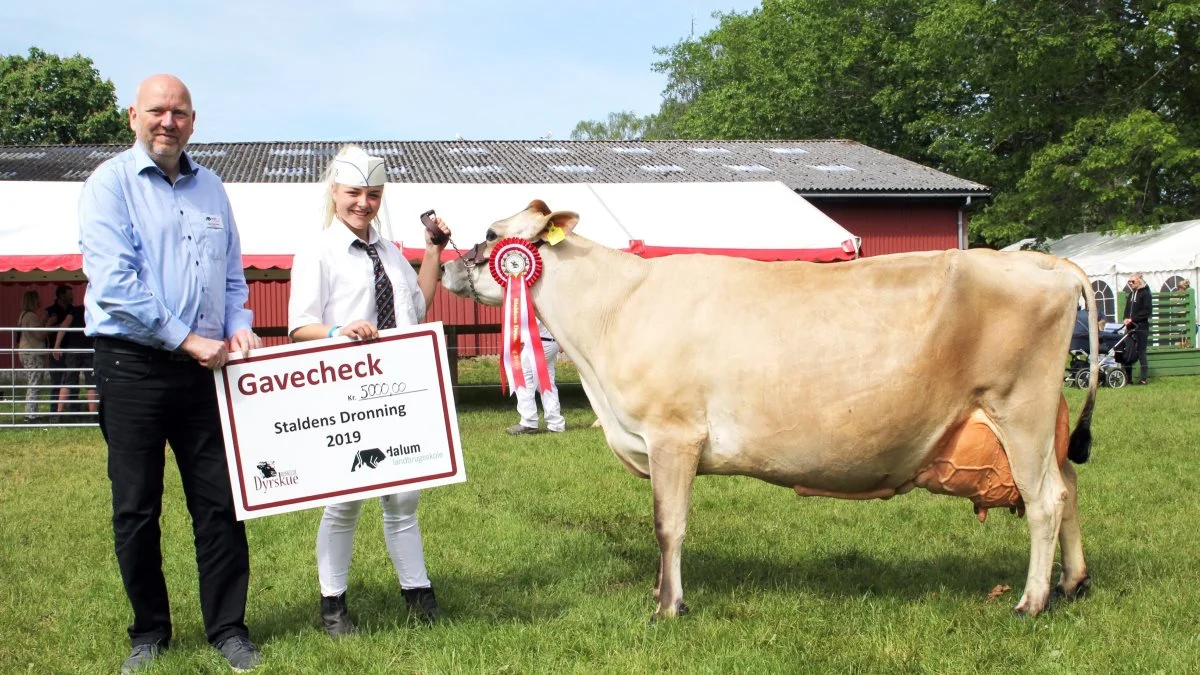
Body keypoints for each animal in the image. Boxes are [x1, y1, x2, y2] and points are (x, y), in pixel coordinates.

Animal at [439, 199, 1099, 619]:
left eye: (494, 237)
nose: (444, 264)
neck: (615, 311)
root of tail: (1048, 263)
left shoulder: (672, 435)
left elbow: (668, 525)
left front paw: (669, 607)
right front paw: (659, 594)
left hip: (1021, 409)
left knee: (1045, 500)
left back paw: (1031, 602)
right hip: (1043, 421)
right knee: (1069, 486)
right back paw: (1073, 584)